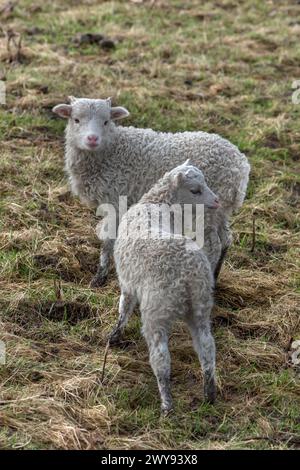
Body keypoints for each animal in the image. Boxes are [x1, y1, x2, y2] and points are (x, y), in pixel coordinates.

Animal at [52, 97, 250, 284]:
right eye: (76, 120)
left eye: (106, 121)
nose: (92, 139)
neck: (112, 151)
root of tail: (241, 167)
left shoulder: (116, 199)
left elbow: (108, 239)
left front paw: (100, 276)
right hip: (220, 209)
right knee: (226, 240)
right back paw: (216, 275)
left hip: (206, 208)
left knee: (213, 244)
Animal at [111, 162, 219, 414]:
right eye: (196, 190)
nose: (217, 201)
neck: (156, 203)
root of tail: (188, 276)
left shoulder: (127, 282)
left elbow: (124, 308)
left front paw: (114, 336)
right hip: (201, 306)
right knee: (207, 347)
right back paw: (209, 393)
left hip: (157, 310)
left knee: (161, 358)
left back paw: (167, 404)